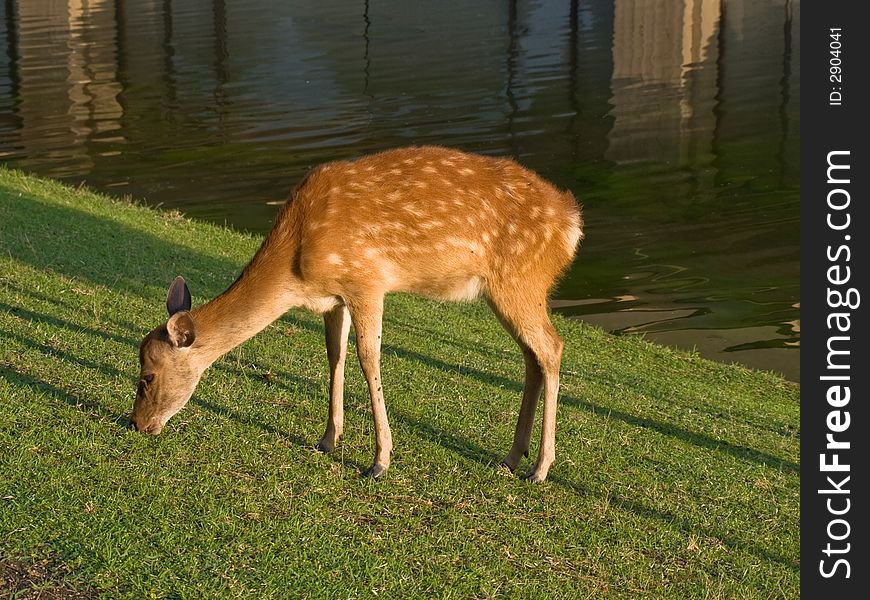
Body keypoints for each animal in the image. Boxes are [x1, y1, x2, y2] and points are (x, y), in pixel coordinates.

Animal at [129, 145, 584, 482]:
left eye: (147, 376)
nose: (136, 424)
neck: (296, 266)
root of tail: (572, 223)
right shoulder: (334, 298)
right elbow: (335, 355)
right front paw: (327, 439)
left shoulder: (367, 280)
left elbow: (369, 358)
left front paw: (379, 461)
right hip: (509, 290)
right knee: (532, 356)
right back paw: (511, 458)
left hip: (520, 280)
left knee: (552, 347)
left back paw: (541, 468)